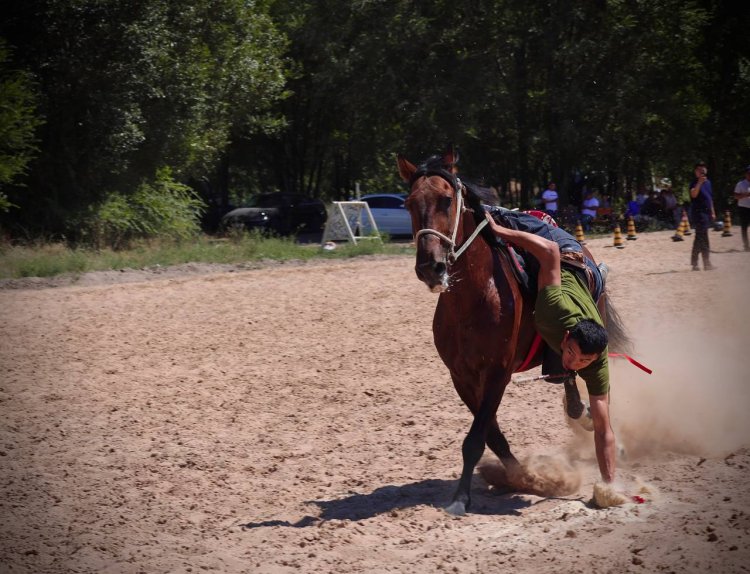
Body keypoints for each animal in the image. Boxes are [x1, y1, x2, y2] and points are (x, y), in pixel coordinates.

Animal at [400, 147, 628, 516]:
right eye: (408, 203)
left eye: (446, 200)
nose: (429, 267)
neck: (473, 300)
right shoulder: (462, 377)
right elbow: (490, 434)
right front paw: (522, 477)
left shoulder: (497, 372)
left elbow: (476, 438)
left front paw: (461, 497)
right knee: (568, 380)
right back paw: (580, 411)